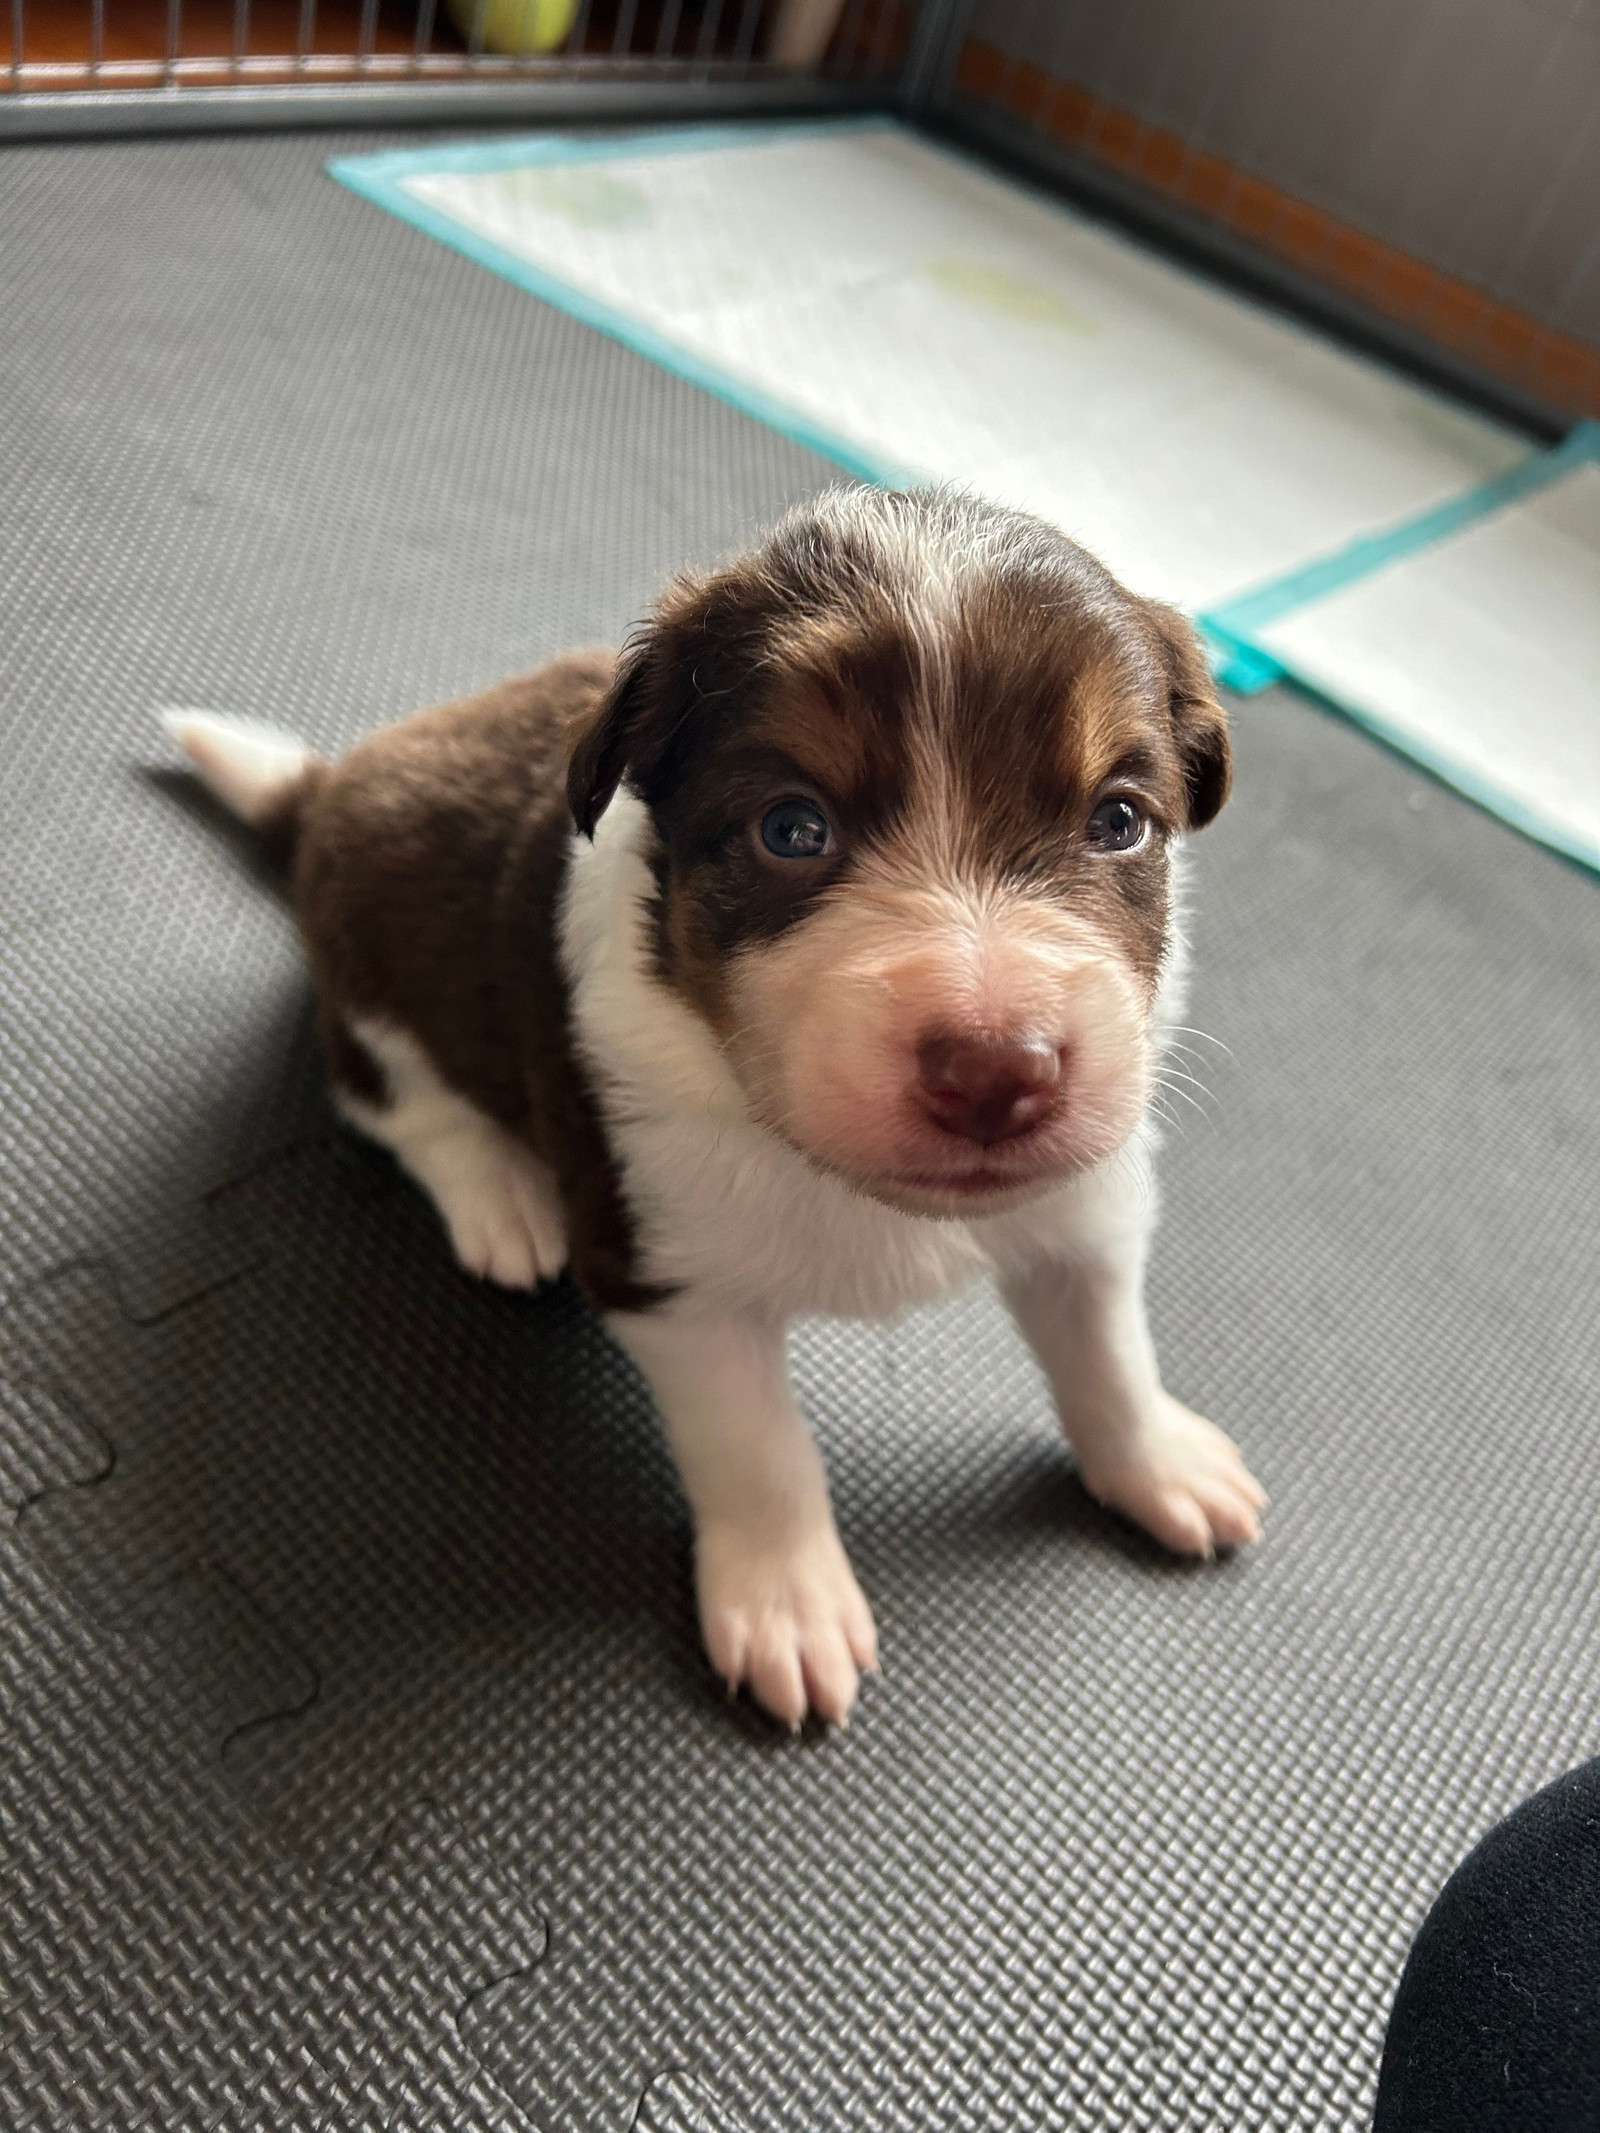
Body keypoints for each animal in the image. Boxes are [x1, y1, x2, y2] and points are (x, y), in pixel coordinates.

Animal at [166, 488, 1262, 1731]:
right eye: (792, 829)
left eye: (1118, 821)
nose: (993, 1072)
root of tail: (327, 787)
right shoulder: (666, 1273)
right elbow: (757, 1448)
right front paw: (788, 1604)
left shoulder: (1087, 1212)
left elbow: (1110, 1350)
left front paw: (1159, 1462)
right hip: (373, 967)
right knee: (391, 1100)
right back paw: (503, 1202)